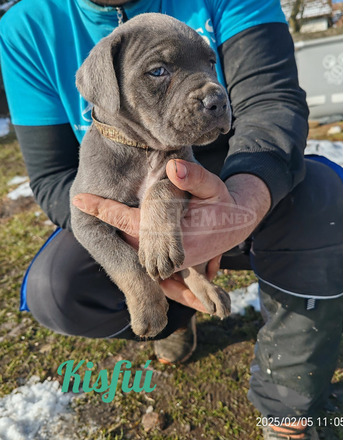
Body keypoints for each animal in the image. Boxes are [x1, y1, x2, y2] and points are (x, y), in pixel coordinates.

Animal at [70, 12, 231, 336]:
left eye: (211, 63)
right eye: (158, 71)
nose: (218, 100)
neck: (142, 149)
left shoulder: (184, 173)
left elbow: (161, 189)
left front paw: (158, 248)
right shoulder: (85, 218)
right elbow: (123, 261)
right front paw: (149, 309)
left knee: (193, 267)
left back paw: (210, 292)